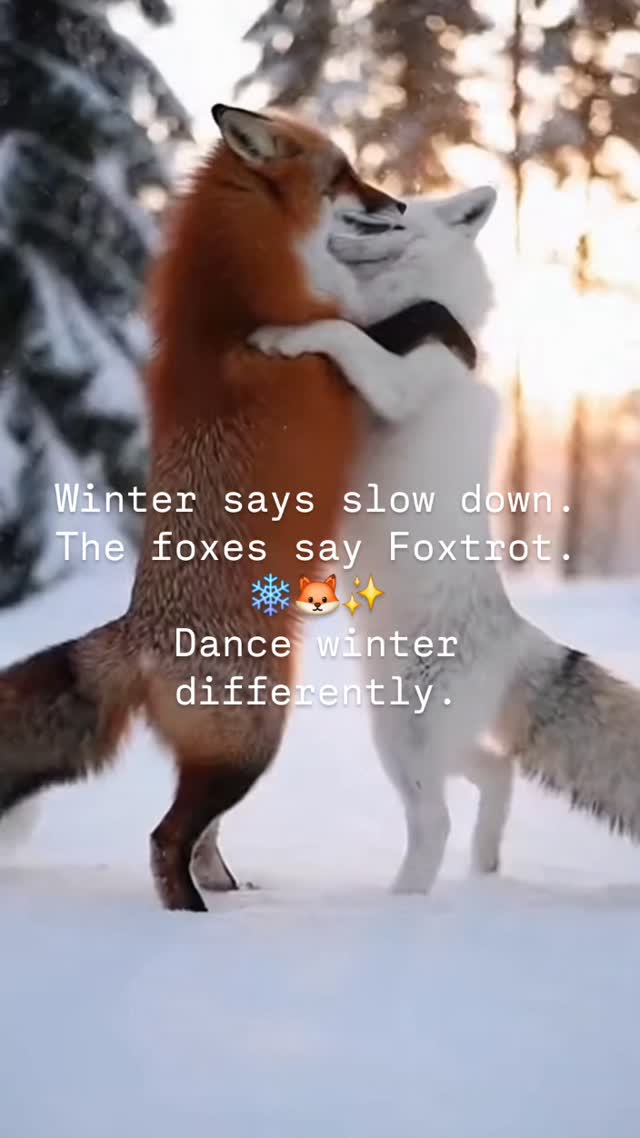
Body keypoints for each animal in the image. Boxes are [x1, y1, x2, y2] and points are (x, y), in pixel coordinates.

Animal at [0, 104, 405, 911]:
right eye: (343, 175)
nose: (400, 206)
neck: (236, 304)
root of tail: (139, 632)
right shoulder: (337, 362)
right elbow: (354, 327)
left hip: (232, 746)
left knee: (198, 838)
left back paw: (225, 888)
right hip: (253, 739)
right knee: (166, 841)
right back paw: (193, 917)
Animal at [246, 186, 640, 895]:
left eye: (394, 216)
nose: (332, 237)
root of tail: (519, 640)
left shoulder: (398, 382)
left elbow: (340, 333)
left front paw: (280, 336)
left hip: (404, 739)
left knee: (436, 824)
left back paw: (404, 903)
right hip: (413, 737)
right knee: (497, 771)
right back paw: (484, 867)